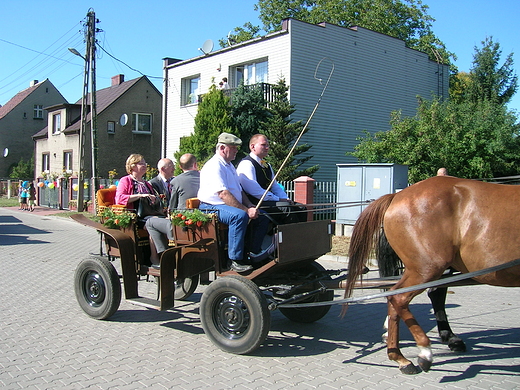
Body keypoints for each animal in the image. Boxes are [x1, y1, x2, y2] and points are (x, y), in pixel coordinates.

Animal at [346, 176, 520, 374]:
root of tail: (397, 196)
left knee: (398, 297)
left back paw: (400, 355)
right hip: (428, 267)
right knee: (401, 297)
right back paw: (425, 350)